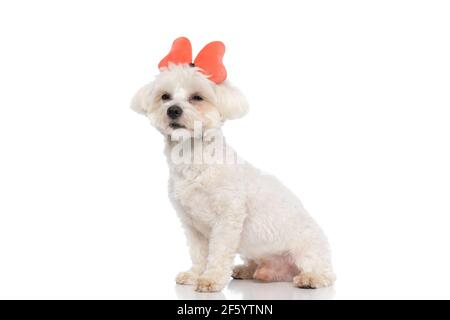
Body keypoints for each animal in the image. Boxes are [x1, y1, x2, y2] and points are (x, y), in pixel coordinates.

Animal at [130, 37, 334, 292]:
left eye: (197, 97)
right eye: (165, 96)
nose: (173, 110)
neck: (193, 160)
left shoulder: (227, 219)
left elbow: (218, 252)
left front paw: (211, 279)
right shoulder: (191, 224)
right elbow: (198, 253)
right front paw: (195, 274)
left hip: (307, 249)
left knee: (324, 271)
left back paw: (311, 278)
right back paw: (249, 270)